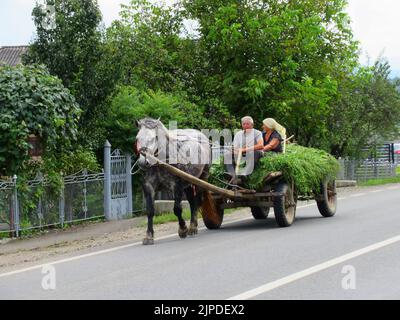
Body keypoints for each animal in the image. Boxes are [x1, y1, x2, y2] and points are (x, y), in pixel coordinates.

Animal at [134, 117, 211, 245]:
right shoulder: (148, 186)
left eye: (154, 138)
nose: (142, 162)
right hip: (188, 182)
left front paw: (183, 229)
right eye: (137, 138)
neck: (160, 162)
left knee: (197, 201)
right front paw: (149, 236)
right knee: (192, 202)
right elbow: (150, 211)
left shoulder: (177, 186)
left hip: (201, 178)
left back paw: (193, 227)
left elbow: (177, 209)